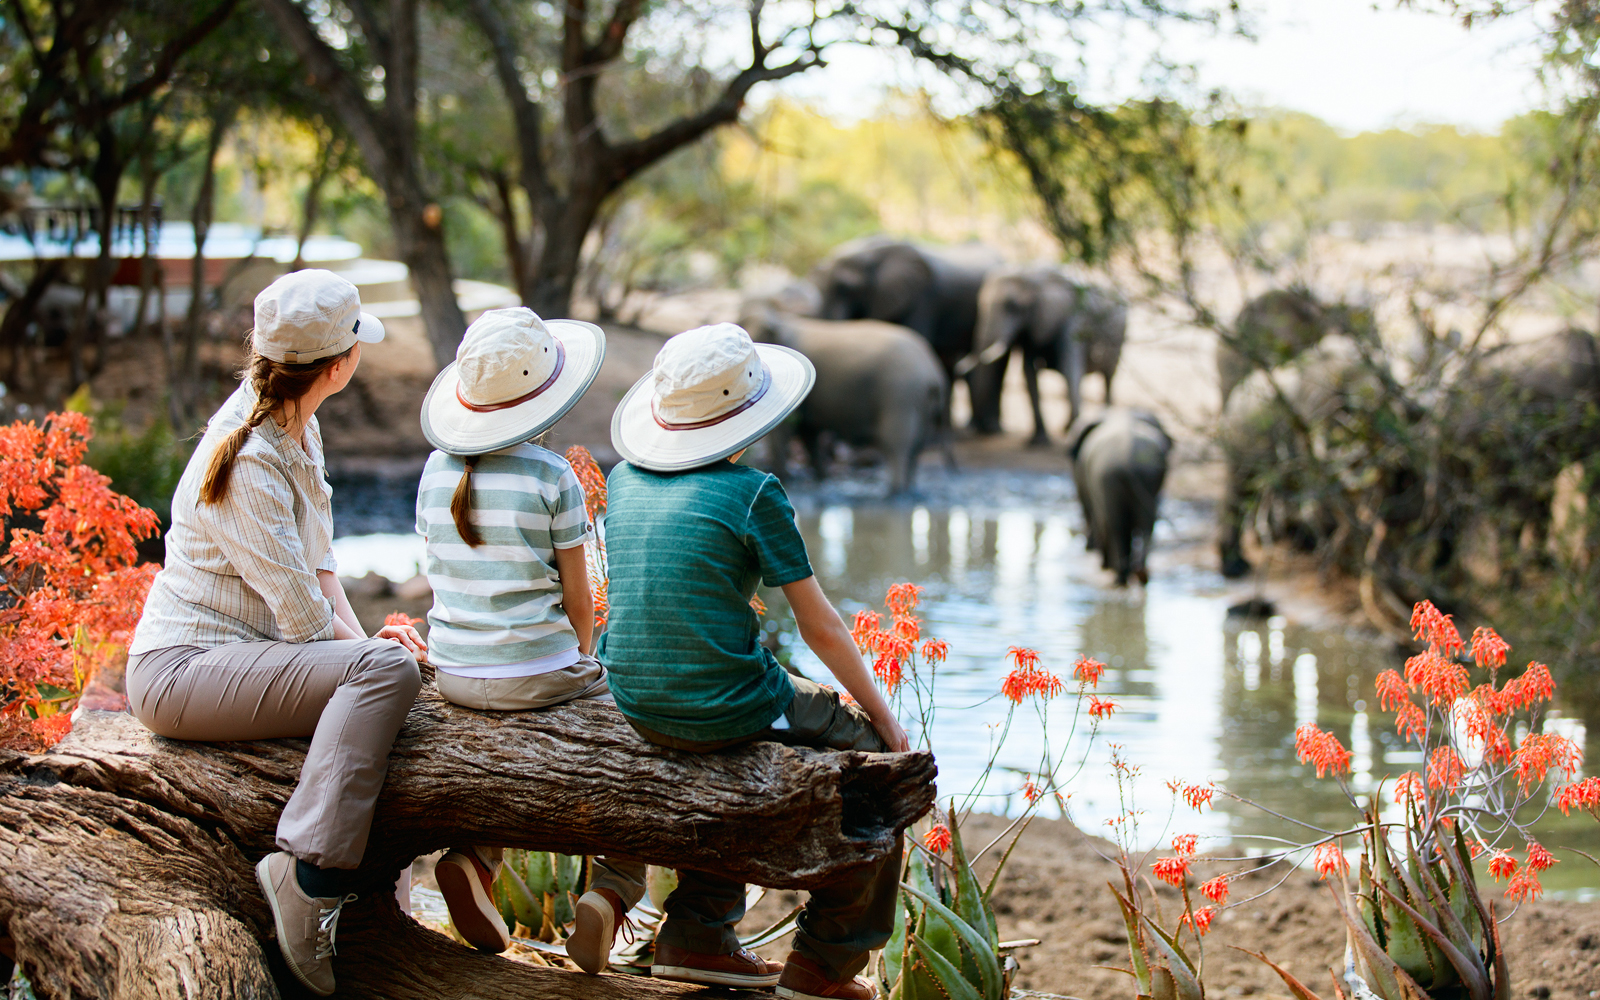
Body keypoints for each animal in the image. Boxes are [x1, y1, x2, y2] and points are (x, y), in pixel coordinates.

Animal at [739, 299, 951, 497]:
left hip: (900, 395)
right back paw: (909, 490)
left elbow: (786, 432)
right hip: (920, 402)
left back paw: (894, 493)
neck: (781, 318)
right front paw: (821, 478)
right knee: (917, 445)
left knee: (896, 444)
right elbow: (808, 433)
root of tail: (932, 372)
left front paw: (786, 478)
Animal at [959, 265, 1126, 442]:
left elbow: (1070, 369)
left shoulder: (1073, 320)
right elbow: (1029, 373)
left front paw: (1073, 432)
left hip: (1119, 338)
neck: (1033, 276)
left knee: (1108, 377)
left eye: (1013, 306)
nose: (959, 368)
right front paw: (1039, 440)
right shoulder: (1032, 327)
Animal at [1065, 408, 1171, 587]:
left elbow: (1094, 511)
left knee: (1115, 523)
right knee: (1146, 524)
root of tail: (1129, 461)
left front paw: (1102, 563)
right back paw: (1141, 575)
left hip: (1108, 477)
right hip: (1148, 477)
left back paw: (1119, 577)